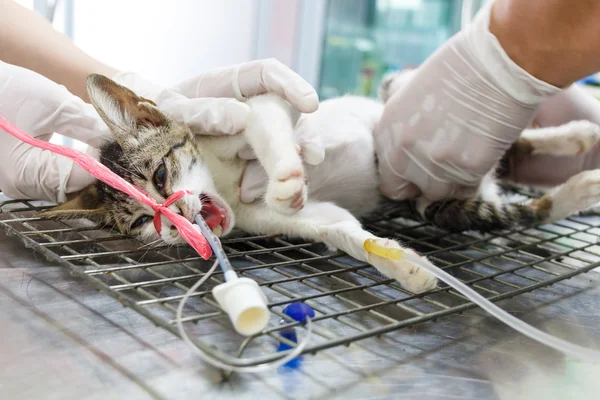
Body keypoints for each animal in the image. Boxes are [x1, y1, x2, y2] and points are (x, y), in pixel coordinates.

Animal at [39, 73, 600, 296]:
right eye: (143, 221)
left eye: (159, 177)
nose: (177, 225)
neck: (227, 183)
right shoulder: (286, 220)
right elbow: (341, 228)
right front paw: (405, 267)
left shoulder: (255, 107)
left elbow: (268, 123)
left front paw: (285, 174)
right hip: (440, 201)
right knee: (514, 194)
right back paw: (580, 164)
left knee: (511, 141)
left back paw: (578, 146)